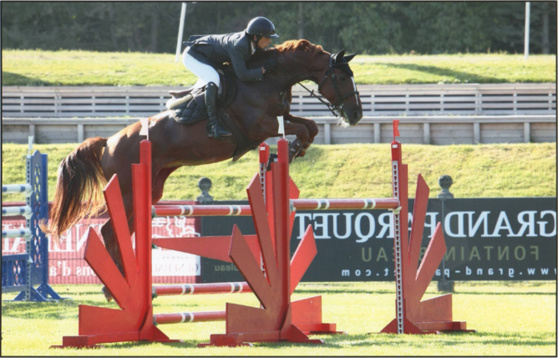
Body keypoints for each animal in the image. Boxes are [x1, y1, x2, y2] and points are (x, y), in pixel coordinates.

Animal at [44, 38, 368, 274]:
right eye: (341, 76)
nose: (356, 115)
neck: (267, 79)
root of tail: (108, 142)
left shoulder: (280, 117)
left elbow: (310, 126)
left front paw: (295, 149)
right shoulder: (260, 126)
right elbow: (299, 127)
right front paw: (292, 148)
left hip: (148, 191)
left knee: (124, 231)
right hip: (125, 192)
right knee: (111, 232)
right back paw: (117, 285)